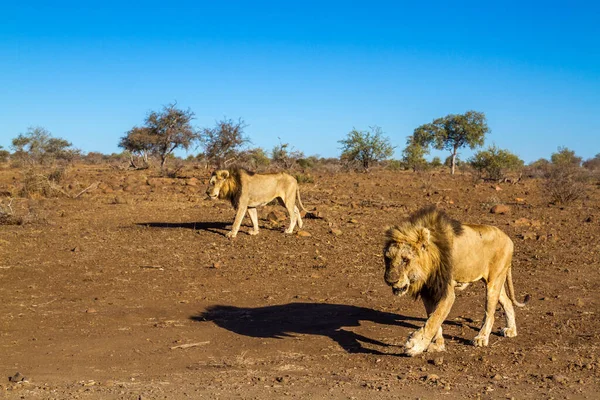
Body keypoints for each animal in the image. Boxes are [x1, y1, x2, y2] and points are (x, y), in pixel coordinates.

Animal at [382, 206, 528, 356]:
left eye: (405, 260)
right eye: (387, 258)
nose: (389, 280)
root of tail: (508, 238)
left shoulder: (447, 292)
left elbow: (434, 319)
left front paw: (415, 345)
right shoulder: (428, 291)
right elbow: (433, 318)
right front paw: (437, 345)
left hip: (493, 282)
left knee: (490, 313)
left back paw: (481, 338)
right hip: (496, 280)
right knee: (508, 301)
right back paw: (511, 330)